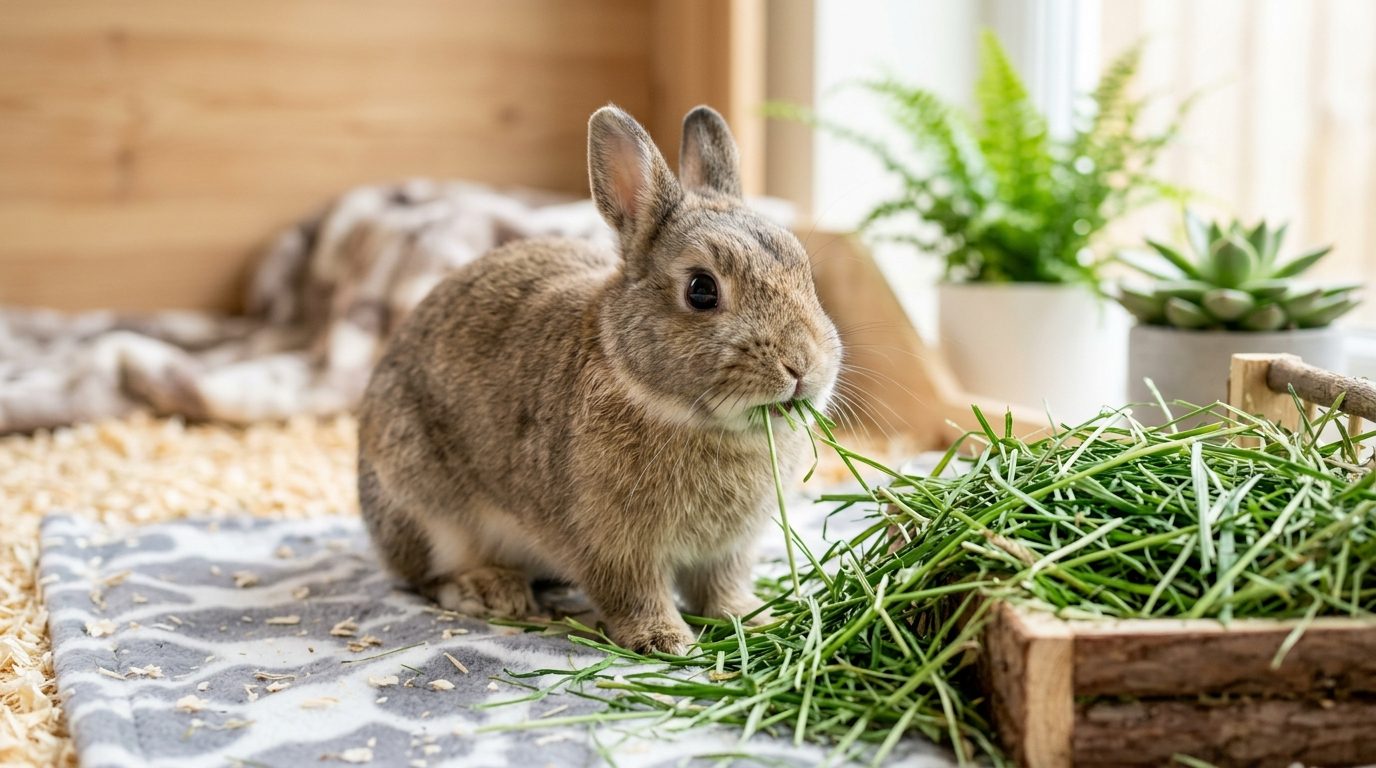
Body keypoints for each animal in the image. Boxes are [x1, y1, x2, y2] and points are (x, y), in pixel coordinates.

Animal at [357, 104, 841, 654]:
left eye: (804, 271)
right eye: (701, 290)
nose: (802, 366)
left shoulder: (726, 552)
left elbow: (721, 590)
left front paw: (754, 620)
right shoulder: (613, 546)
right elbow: (636, 595)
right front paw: (667, 641)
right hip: (426, 508)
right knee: (424, 575)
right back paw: (491, 591)